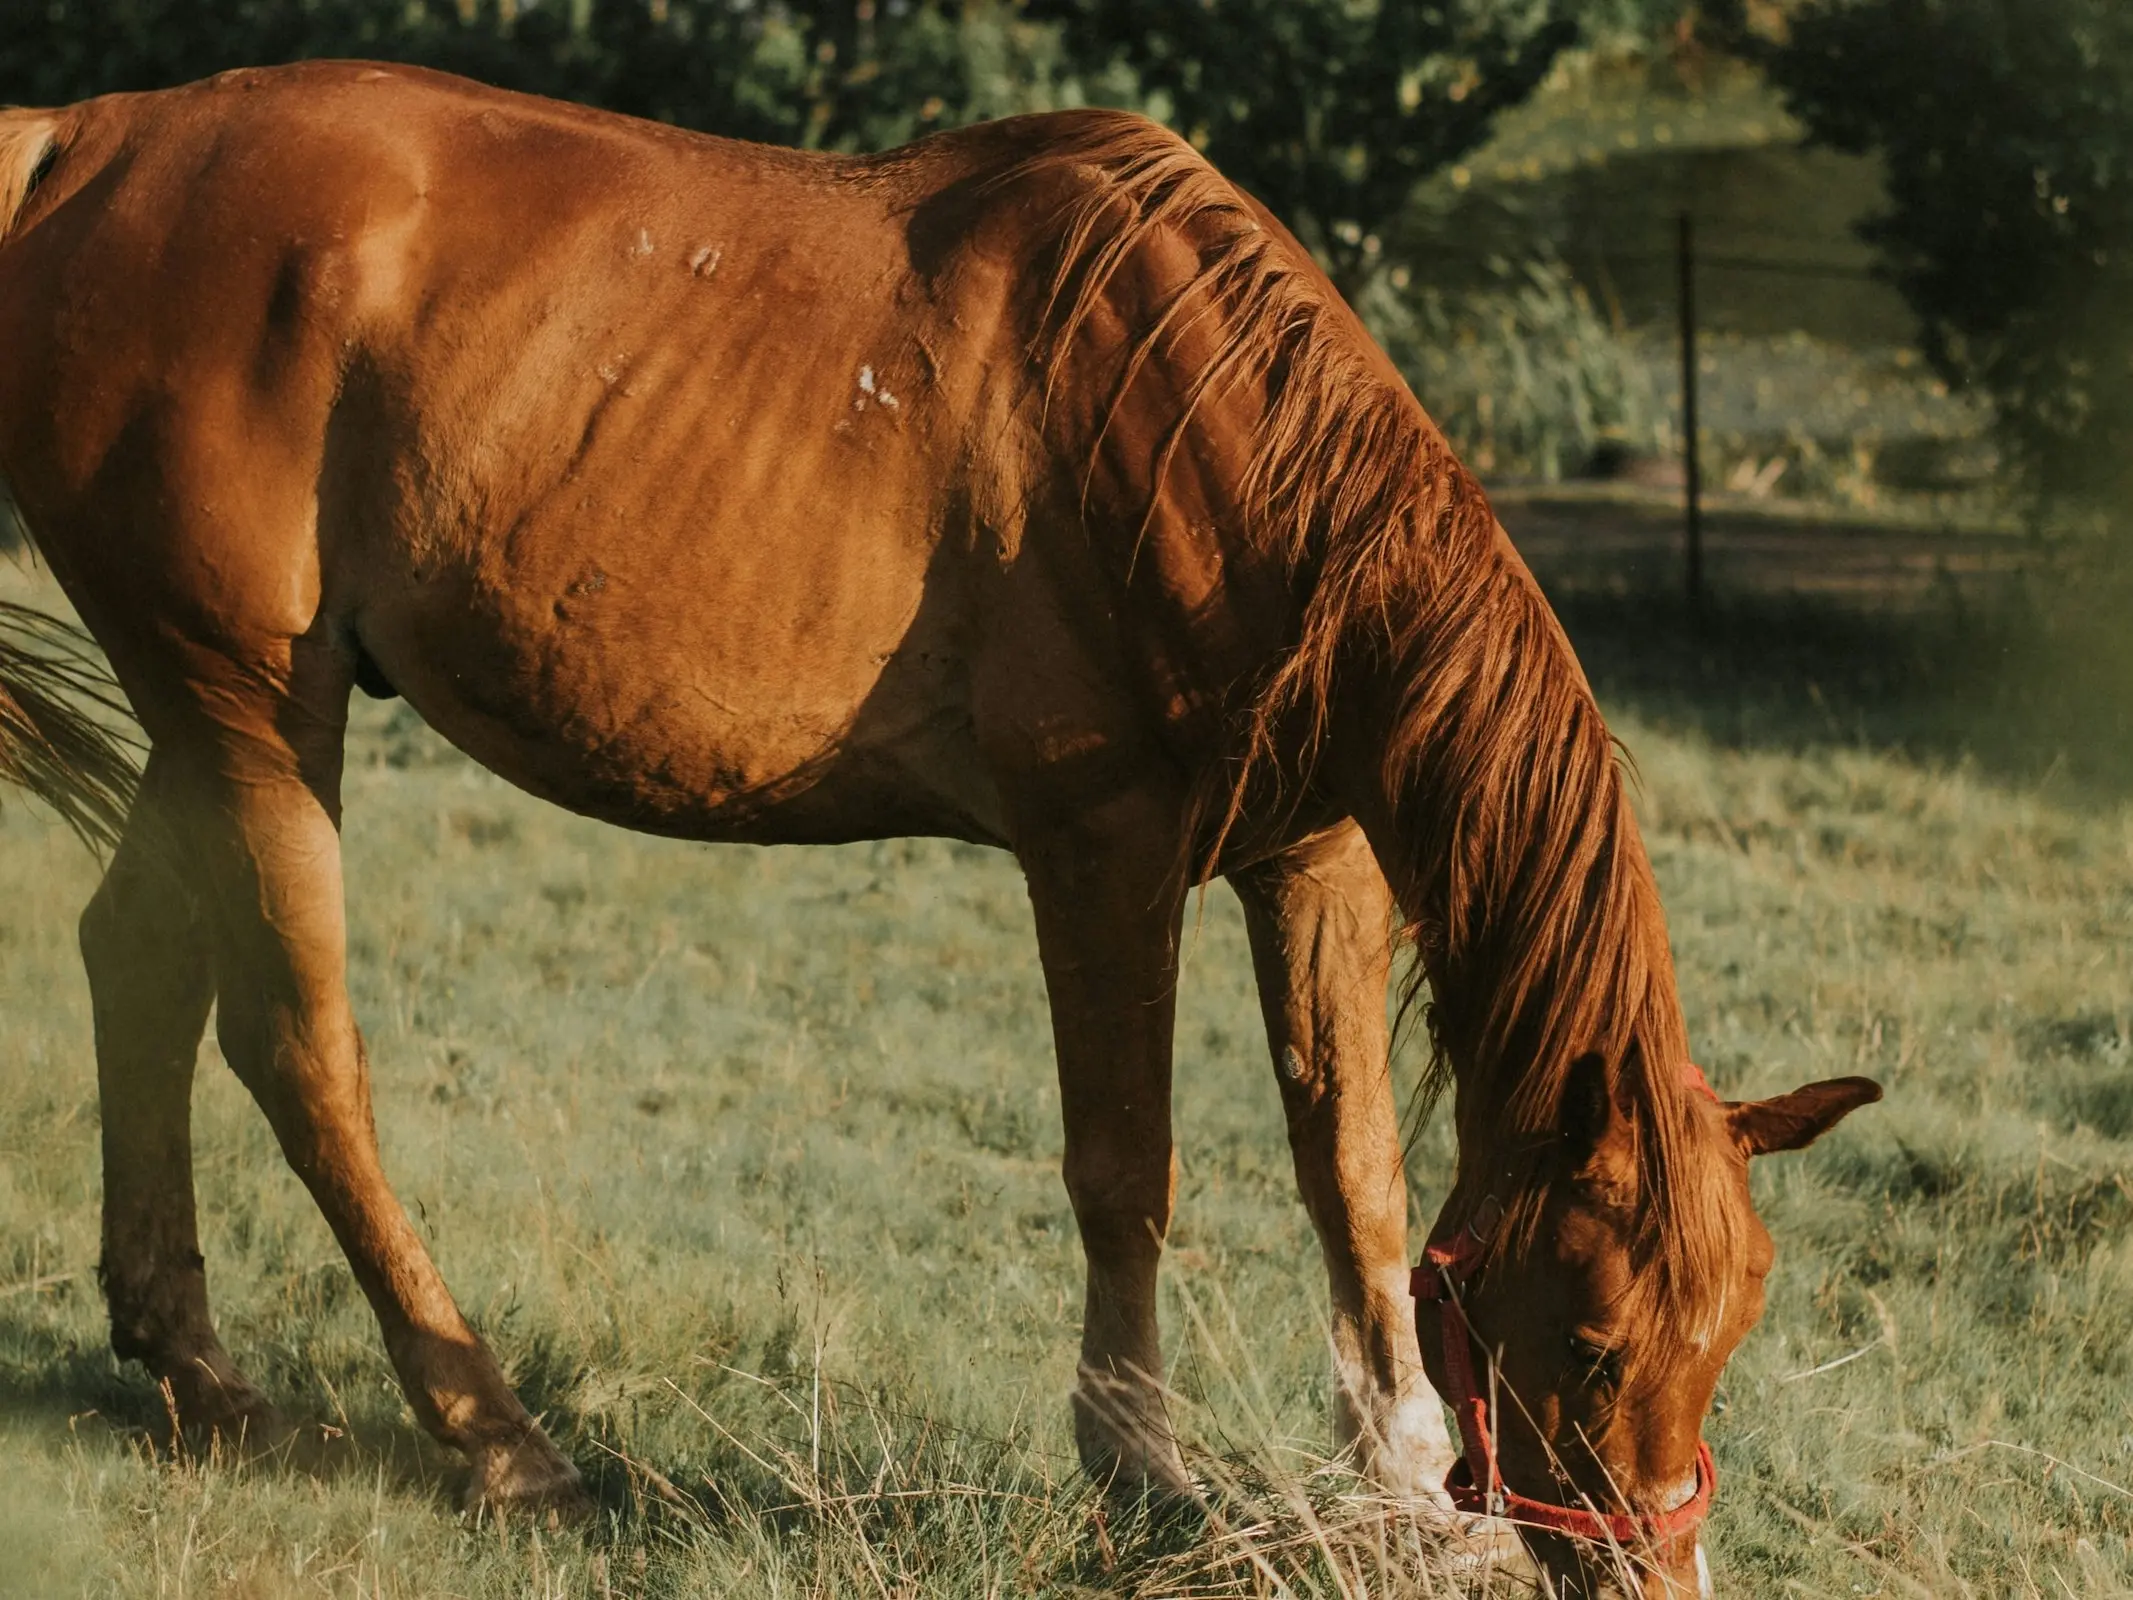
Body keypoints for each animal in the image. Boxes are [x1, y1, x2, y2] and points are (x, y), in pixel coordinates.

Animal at [0, 59, 1885, 1595]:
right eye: (1591, 1343)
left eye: (1730, 1327)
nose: (1656, 1576)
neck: (1216, 439)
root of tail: (89, 143)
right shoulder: (1102, 853)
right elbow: (1127, 1172)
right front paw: (1141, 1473)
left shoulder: (1314, 860)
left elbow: (1349, 1168)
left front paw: (1402, 1480)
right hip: (253, 715)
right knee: (296, 1047)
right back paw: (497, 1438)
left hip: (217, 725)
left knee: (138, 962)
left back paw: (197, 1372)